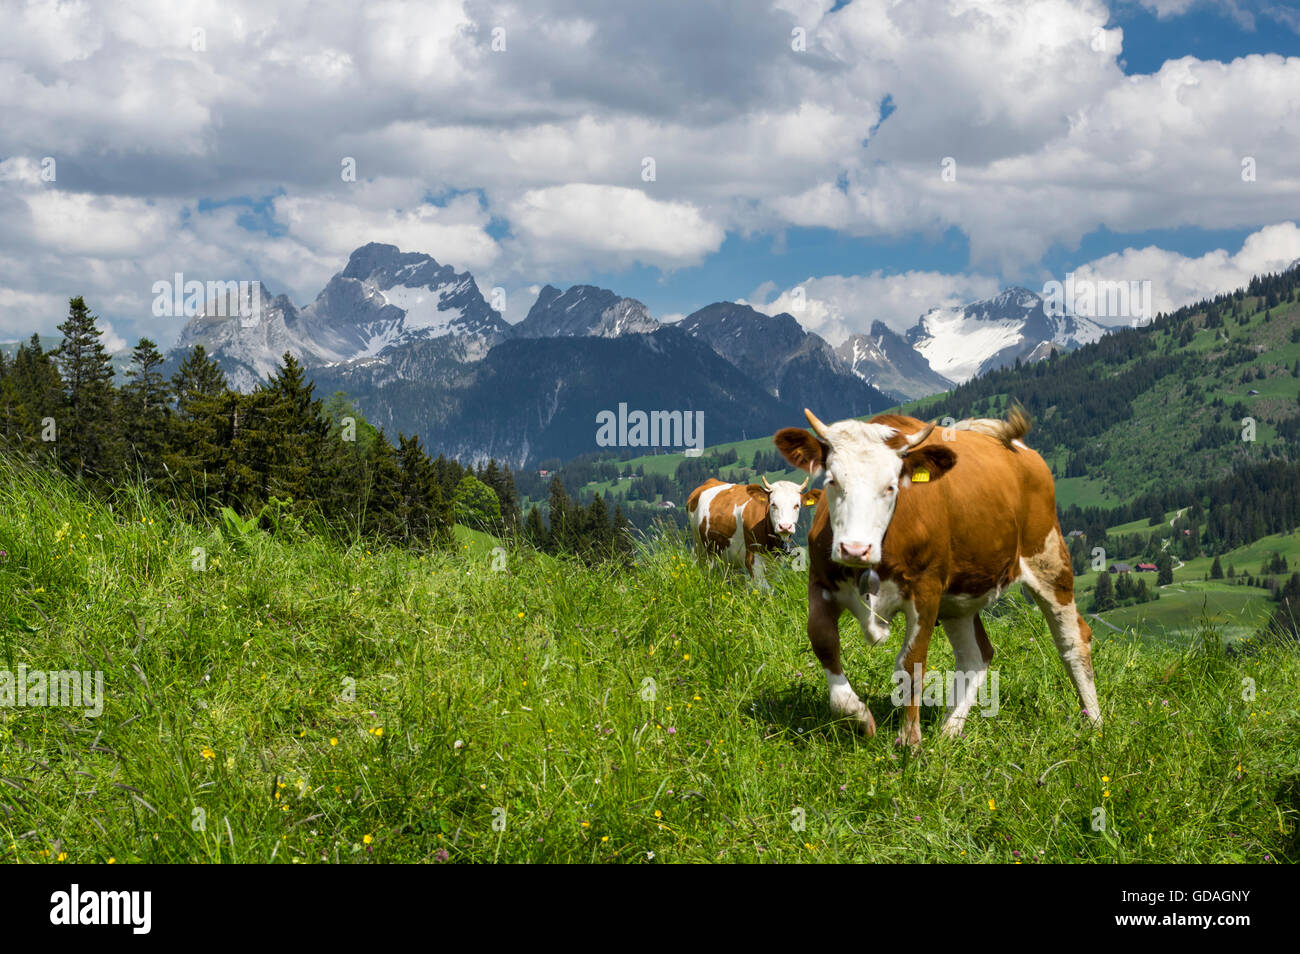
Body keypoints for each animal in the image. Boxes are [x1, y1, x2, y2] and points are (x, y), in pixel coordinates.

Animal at [774, 405, 1102, 748]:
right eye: (832, 480)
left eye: (891, 486)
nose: (854, 549)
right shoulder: (820, 582)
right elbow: (824, 642)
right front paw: (860, 717)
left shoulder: (926, 591)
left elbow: (911, 664)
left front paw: (910, 740)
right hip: (960, 597)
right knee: (976, 654)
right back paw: (949, 731)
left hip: (1049, 560)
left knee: (1073, 640)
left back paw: (1094, 722)